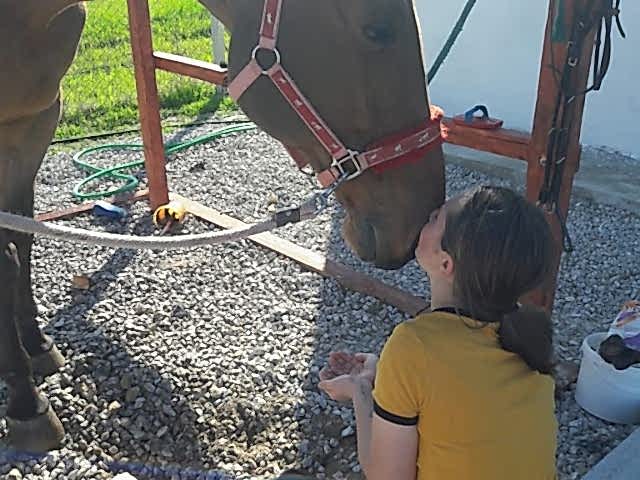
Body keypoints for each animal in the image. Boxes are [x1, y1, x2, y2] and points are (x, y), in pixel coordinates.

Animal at [0, 0, 444, 451]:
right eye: (377, 29)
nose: (419, 222)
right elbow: (7, 255)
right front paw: (27, 405)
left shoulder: (37, 119)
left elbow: (22, 238)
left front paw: (37, 347)